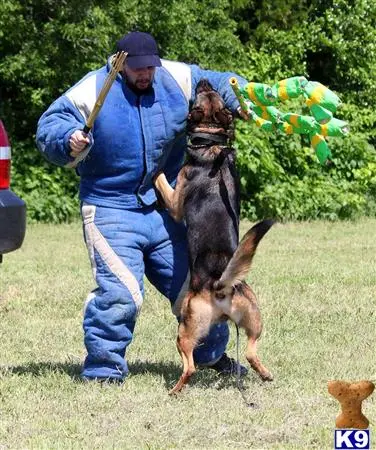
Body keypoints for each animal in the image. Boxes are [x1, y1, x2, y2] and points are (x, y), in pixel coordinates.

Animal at [153, 81, 274, 394]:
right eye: (213, 96)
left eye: (200, 96)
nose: (205, 80)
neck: (212, 142)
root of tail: (221, 285)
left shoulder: (175, 202)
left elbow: (160, 179)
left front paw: (155, 168)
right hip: (255, 317)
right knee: (251, 352)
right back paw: (266, 374)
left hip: (185, 326)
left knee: (190, 366)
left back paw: (175, 390)